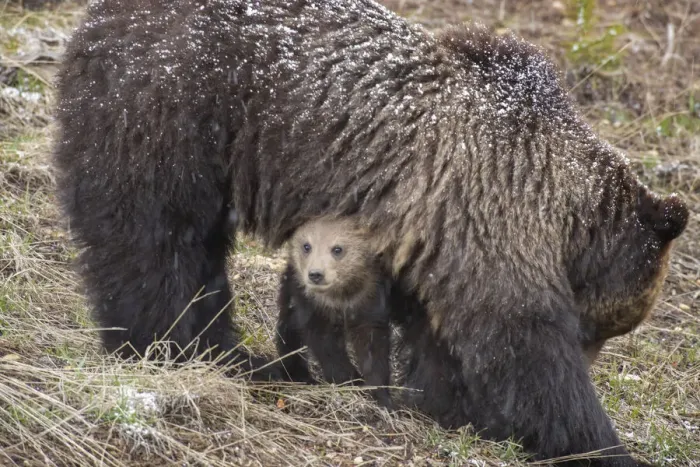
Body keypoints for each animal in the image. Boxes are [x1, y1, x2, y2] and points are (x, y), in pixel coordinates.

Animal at [275, 215, 424, 409]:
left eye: (337, 249)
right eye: (306, 245)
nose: (316, 274)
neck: (341, 297)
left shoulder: (369, 301)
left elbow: (373, 350)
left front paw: (382, 396)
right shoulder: (312, 306)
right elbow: (326, 346)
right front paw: (351, 381)